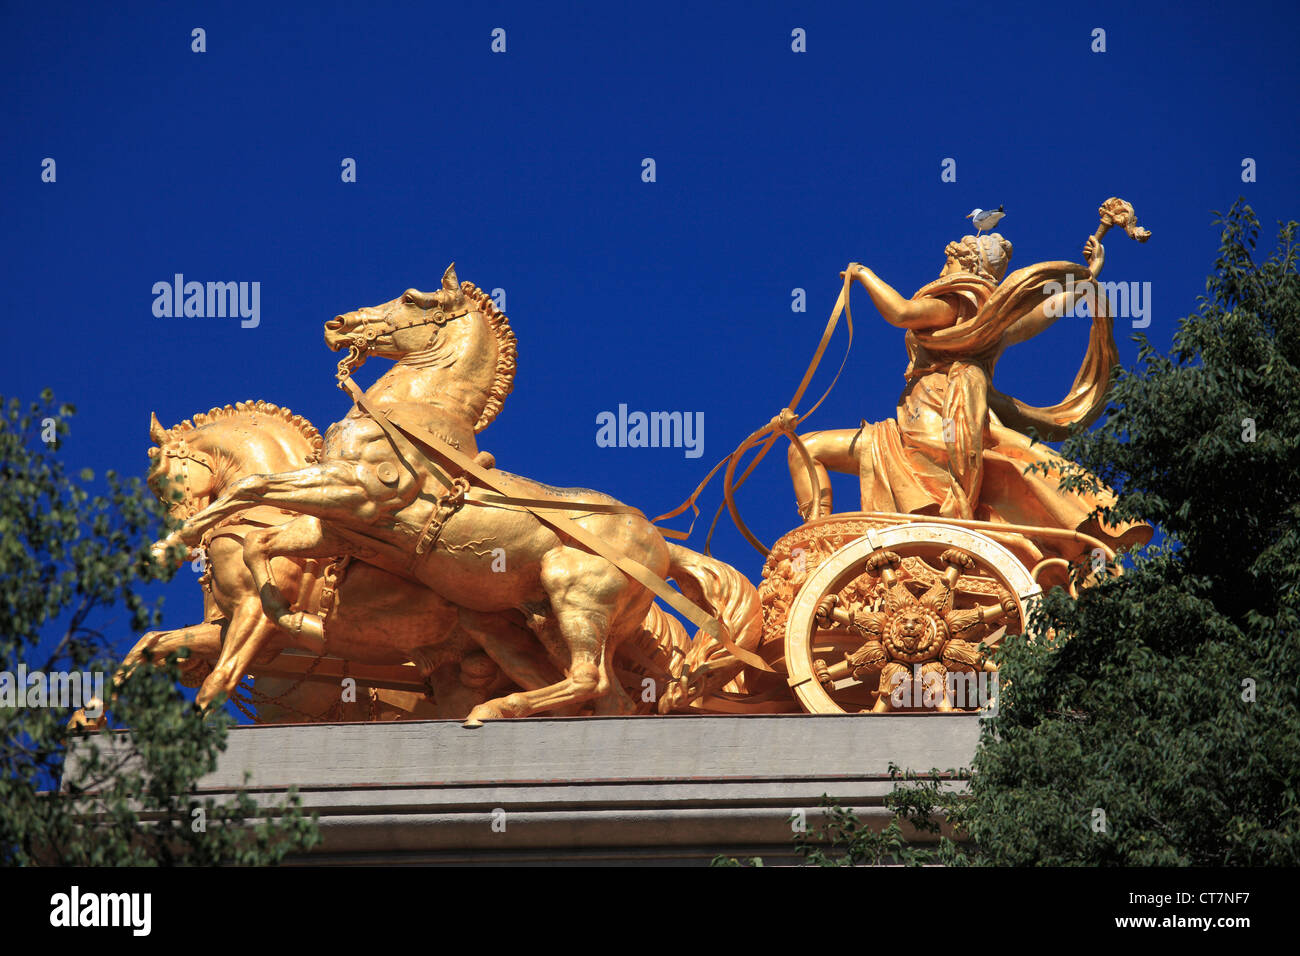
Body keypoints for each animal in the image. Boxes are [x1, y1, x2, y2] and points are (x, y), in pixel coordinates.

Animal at [163, 265, 759, 723]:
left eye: (409, 297)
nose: (337, 325)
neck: (411, 413)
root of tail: (662, 543)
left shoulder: (360, 492)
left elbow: (251, 486)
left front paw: (180, 542)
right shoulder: (334, 524)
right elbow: (260, 542)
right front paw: (284, 613)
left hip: (573, 590)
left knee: (586, 679)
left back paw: (493, 709)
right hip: (532, 622)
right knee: (609, 697)